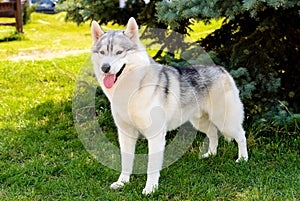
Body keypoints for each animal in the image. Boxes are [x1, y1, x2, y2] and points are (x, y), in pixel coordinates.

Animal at [91, 17, 248, 195]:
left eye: (119, 52)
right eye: (102, 53)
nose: (105, 68)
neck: (131, 90)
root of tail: (221, 69)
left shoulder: (155, 136)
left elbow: (152, 167)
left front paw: (150, 189)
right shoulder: (125, 134)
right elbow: (126, 162)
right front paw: (122, 182)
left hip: (225, 121)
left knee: (241, 135)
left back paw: (243, 159)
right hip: (200, 122)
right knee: (213, 134)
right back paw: (210, 155)